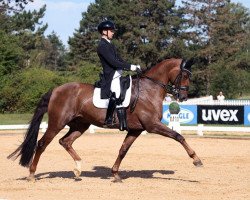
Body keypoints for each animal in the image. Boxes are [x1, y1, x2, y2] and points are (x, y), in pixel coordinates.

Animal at [7, 58, 203, 183]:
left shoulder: (136, 130)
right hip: (57, 124)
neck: (149, 90)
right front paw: (196, 159)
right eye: (185, 75)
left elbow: (123, 150)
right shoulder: (152, 125)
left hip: (80, 124)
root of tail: (56, 90)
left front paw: (115, 175)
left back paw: (78, 168)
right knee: (42, 144)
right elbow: (178, 136)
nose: (183, 97)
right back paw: (32, 175)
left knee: (65, 141)